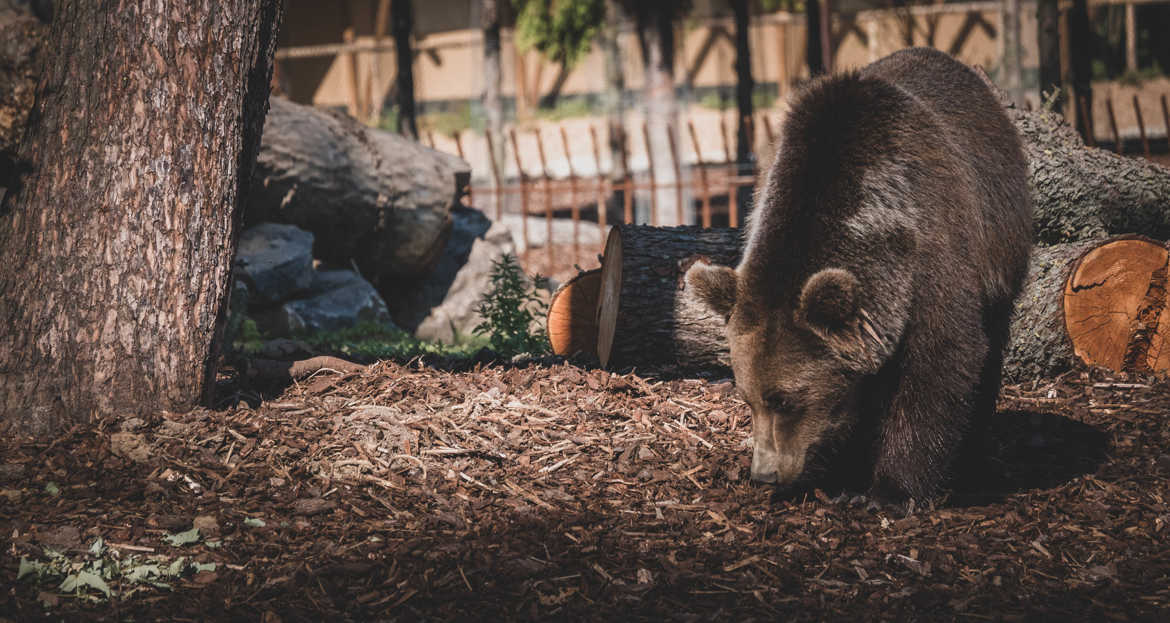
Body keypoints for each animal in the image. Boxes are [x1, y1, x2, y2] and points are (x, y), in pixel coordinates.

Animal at [687, 48, 1029, 501]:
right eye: (747, 398)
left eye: (785, 400)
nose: (764, 474)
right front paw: (841, 474)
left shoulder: (933, 251)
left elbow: (942, 358)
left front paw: (892, 490)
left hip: (1000, 241)